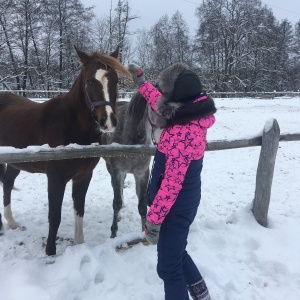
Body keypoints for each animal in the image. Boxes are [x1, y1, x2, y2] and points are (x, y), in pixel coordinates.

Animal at [0, 47, 131, 255]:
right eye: (89, 82)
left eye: (115, 80)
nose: (108, 122)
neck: (70, 127)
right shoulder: (56, 178)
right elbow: (55, 215)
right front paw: (50, 252)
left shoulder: (83, 176)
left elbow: (79, 210)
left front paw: (79, 245)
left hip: (17, 163)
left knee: (7, 182)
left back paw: (12, 222)